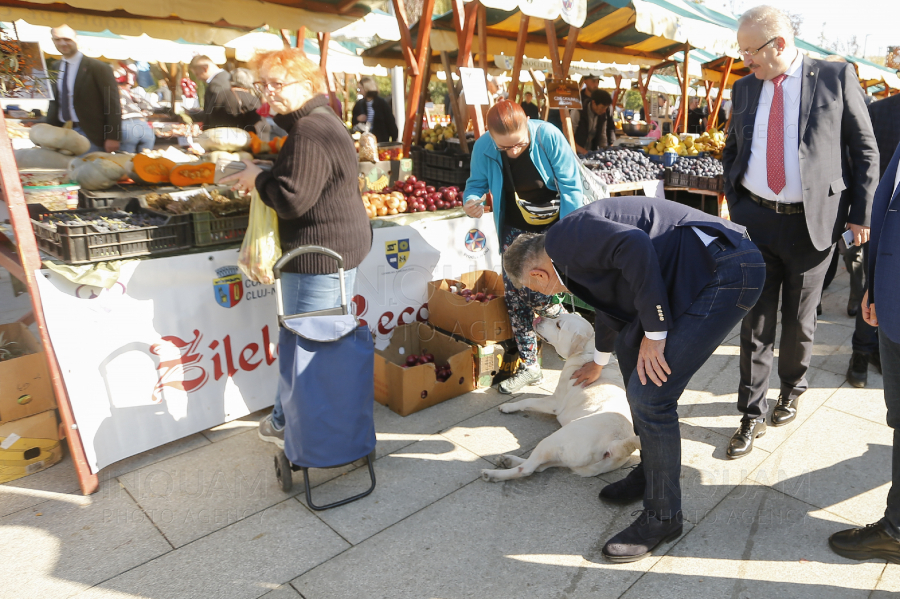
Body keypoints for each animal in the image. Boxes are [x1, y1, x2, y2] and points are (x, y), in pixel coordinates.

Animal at [482, 314, 636, 482]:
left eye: (558, 325)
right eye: (557, 316)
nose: (539, 318)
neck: (587, 352)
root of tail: (616, 445)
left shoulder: (556, 401)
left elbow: (528, 400)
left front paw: (509, 406)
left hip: (555, 440)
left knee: (528, 469)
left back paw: (493, 473)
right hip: (564, 456)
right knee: (539, 466)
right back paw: (507, 460)